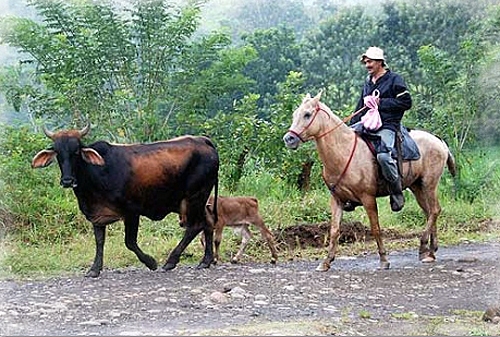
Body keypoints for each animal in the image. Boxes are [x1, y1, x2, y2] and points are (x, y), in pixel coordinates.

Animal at [284, 91, 456, 270]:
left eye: (307, 114)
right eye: (295, 114)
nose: (288, 139)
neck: (344, 152)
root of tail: (439, 141)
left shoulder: (368, 198)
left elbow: (375, 228)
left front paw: (384, 260)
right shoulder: (337, 199)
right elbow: (334, 230)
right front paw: (326, 262)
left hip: (430, 183)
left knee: (435, 210)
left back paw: (423, 247)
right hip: (417, 187)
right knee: (429, 212)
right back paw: (431, 251)